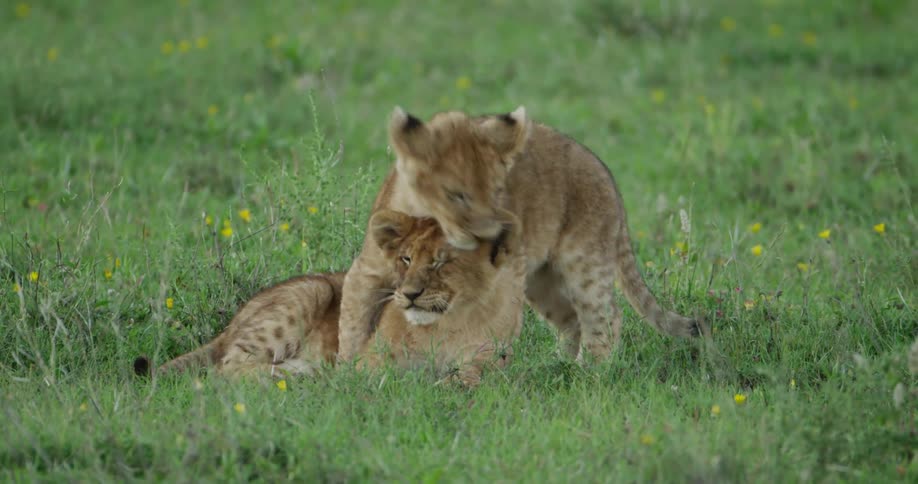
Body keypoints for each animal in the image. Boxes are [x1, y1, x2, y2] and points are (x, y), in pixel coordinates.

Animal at [134, 210, 523, 386]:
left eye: (441, 261)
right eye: (406, 259)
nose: (409, 294)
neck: (446, 320)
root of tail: (231, 323)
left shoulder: (492, 358)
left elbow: (472, 376)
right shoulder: (367, 360)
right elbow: (377, 375)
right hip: (311, 291)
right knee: (226, 367)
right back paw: (301, 373)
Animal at [337, 107, 699, 362]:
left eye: (498, 190)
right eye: (457, 195)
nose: (492, 236)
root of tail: (606, 173)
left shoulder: (506, 274)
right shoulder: (367, 270)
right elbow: (351, 322)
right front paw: (346, 377)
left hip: (583, 262)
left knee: (606, 316)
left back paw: (589, 371)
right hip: (541, 281)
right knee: (572, 320)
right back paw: (558, 366)